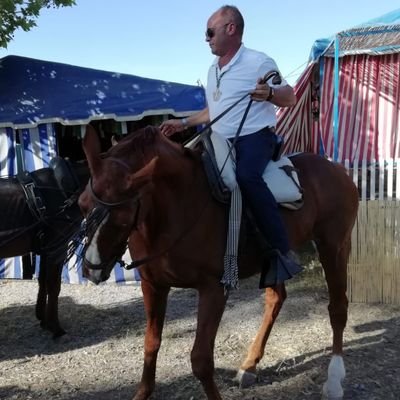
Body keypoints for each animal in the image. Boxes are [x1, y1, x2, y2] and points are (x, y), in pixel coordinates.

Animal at [0, 157, 89, 338]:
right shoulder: (58, 245)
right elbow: (54, 285)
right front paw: (55, 327)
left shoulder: (46, 247)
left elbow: (43, 281)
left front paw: (42, 318)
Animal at [78, 126, 360, 400]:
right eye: (82, 204)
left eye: (123, 217)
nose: (91, 269)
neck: (178, 206)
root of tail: (336, 168)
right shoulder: (153, 285)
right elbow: (151, 343)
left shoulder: (213, 289)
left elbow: (201, 360)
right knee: (276, 298)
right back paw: (249, 366)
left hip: (334, 247)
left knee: (337, 307)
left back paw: (334, 380)